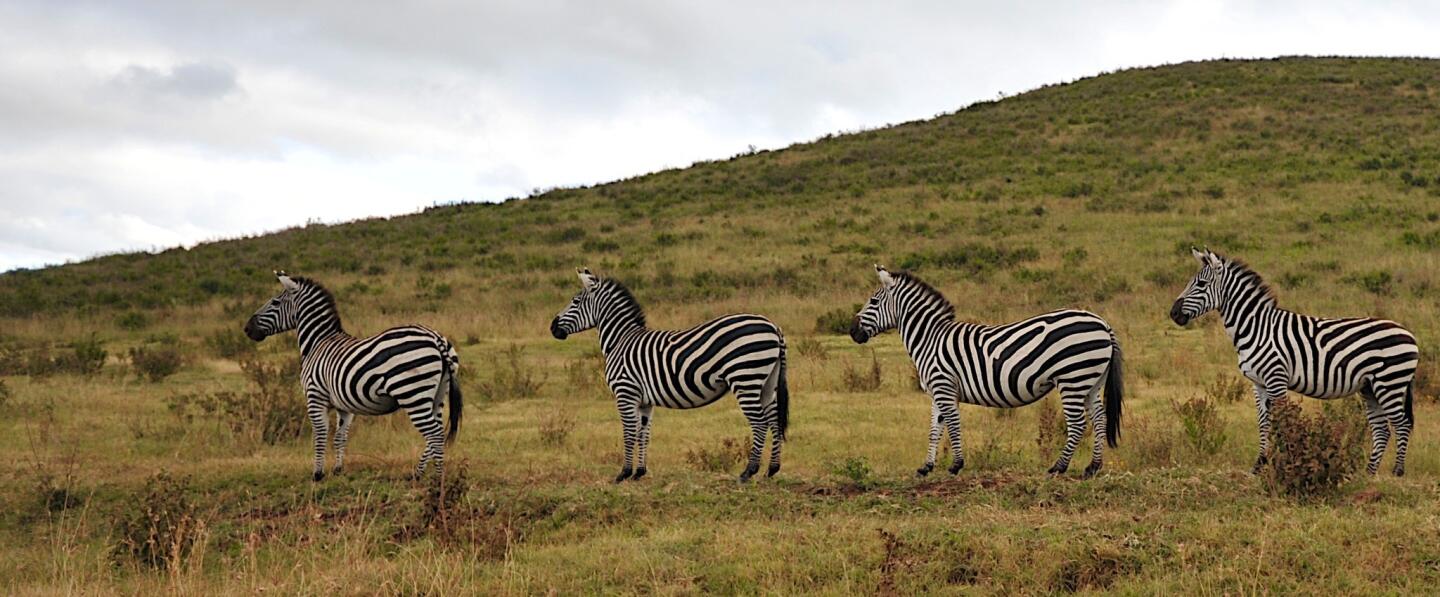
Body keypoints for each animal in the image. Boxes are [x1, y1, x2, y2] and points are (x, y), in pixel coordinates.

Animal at [239, 270, 457, 480]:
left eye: (275, 302)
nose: (247, 329)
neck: (318, 342)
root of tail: (435, 338)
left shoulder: (314, 396)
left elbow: (320, 434)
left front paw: (317, 474)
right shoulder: (344, 405)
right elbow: (340, 436)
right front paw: (338, 469)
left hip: (412, 393)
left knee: (434, 434)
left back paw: (438, 479)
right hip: (438, 393)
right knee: (437, 432)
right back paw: (417, 474)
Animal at [550, 269, 794, 483]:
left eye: (575, 302)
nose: (552, 328)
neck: (620, 341)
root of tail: (773, 326)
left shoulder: (625, 391)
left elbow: (629, 432)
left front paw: (624, 473)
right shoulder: (644, 400)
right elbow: (643, 433)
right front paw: (639, 473)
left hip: (745, 378)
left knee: (760, 422)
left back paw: (748, 472)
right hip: (767, 381)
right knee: (773, 418)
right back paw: (772, 469)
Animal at [846, 264, 1117, 477]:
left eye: (873, 301)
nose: (852, 331)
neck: (930, 339)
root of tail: (1102, 322)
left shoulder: (944, 385)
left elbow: (953, 424)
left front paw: (956, 465)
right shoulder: (937, 391)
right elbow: (935, 430)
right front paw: (926, 467)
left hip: (1072, 378)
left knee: (1078, 424)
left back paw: (1058, 467)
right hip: (1091, 381)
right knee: (1100, 419)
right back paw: (1093, 467)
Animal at [1169, 247, 1416, 477]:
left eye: (1201, 284)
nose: (1173, 314)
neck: (1256, 328)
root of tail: (1409, 333)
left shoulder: (1276, 377)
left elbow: (1282, 423)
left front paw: (1289, 461)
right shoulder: (1258, 384)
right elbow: (1264, 423)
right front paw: (1259, 465)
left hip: (1389, 382)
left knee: (1401, 424)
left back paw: (1398, 471)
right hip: (1370, 387)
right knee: (1382, 429)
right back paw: (1368, 473)